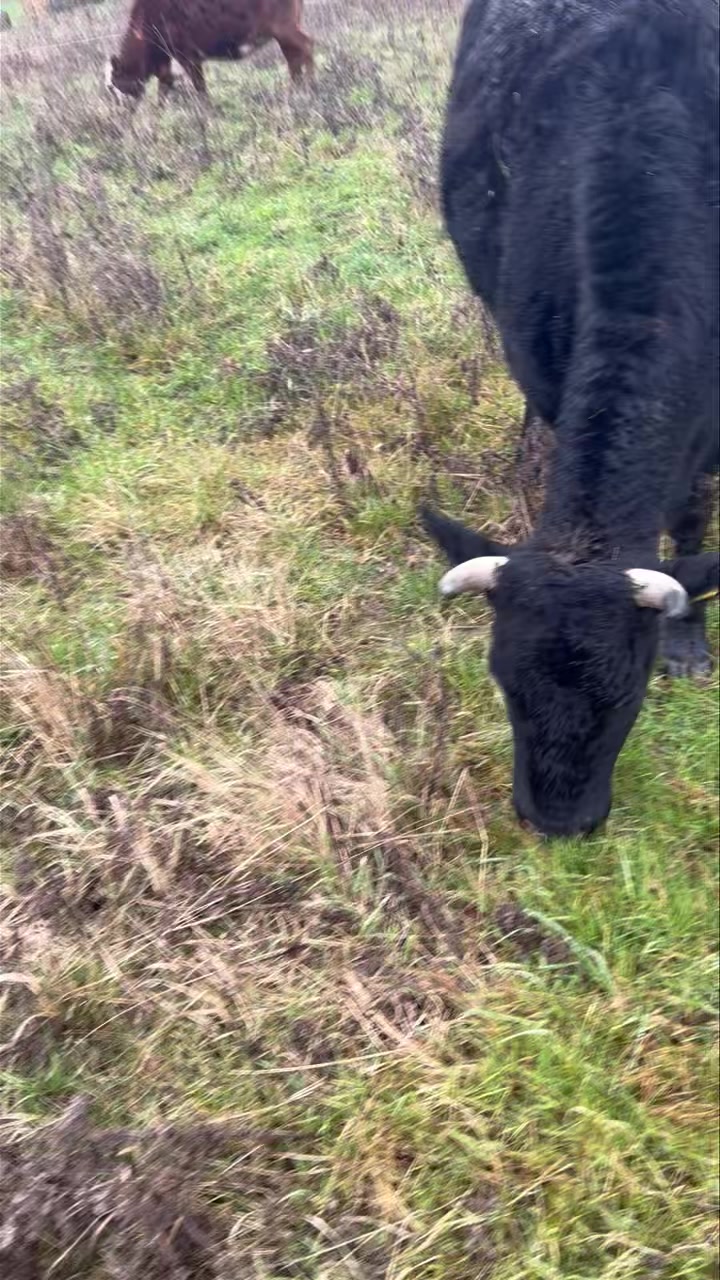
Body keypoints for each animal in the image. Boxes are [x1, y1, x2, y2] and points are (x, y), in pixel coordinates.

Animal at [106, 0, 314, 102]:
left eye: (119, 85)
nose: (127, 113)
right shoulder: (167, 61)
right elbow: (163, 88)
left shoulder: (187, 55)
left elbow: (199, 86)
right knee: (294, 56)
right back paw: (296, 89)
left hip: (284, 28)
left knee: (306, 45)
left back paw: (310, 85)